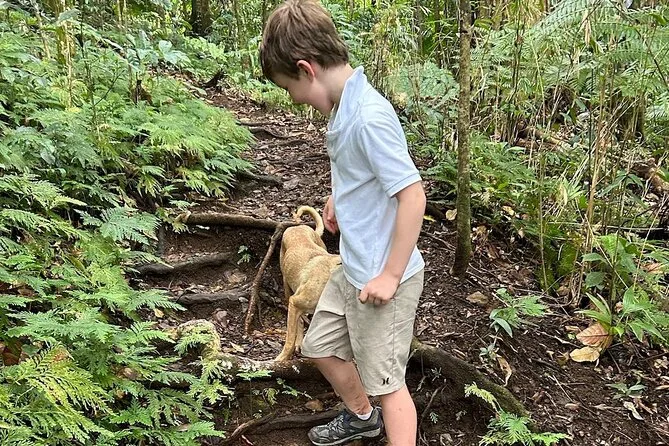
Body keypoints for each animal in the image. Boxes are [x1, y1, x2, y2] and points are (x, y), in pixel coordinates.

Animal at [275, 206, 341, 362]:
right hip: (287, 287)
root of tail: (298, 227)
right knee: (298, 322)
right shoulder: (295, 301)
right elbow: (289, 340)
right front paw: (281, 359)